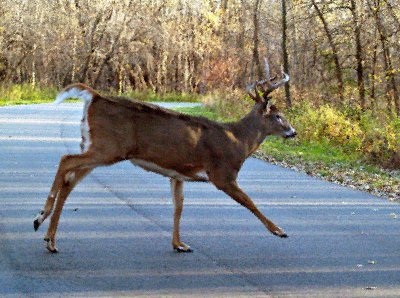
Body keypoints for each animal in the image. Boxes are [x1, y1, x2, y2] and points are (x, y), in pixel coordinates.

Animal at [34, 58, 296, 254]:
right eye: (278, 116)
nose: (293, 132)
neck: (239, 141)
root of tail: (95, 97)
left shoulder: (178, 174)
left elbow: (178, 206)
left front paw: (179, 244)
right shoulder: (222, 174)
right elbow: (249, 202)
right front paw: (279, 230)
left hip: (95, 147)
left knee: (69, 180)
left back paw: (49, 237)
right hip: (108, 148)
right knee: (65, 160)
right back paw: (42, 218)